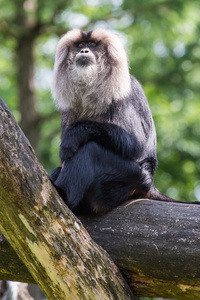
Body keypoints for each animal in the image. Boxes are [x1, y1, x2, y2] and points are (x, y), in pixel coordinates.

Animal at [49, 28, 175, 213]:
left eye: (92, 44)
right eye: (80, 45)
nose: (84, 51)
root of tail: (150, 185)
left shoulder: (124, 92)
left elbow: (136, 144)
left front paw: (73, 136)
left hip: (126, 180)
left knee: (90, 149)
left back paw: (64, 195)